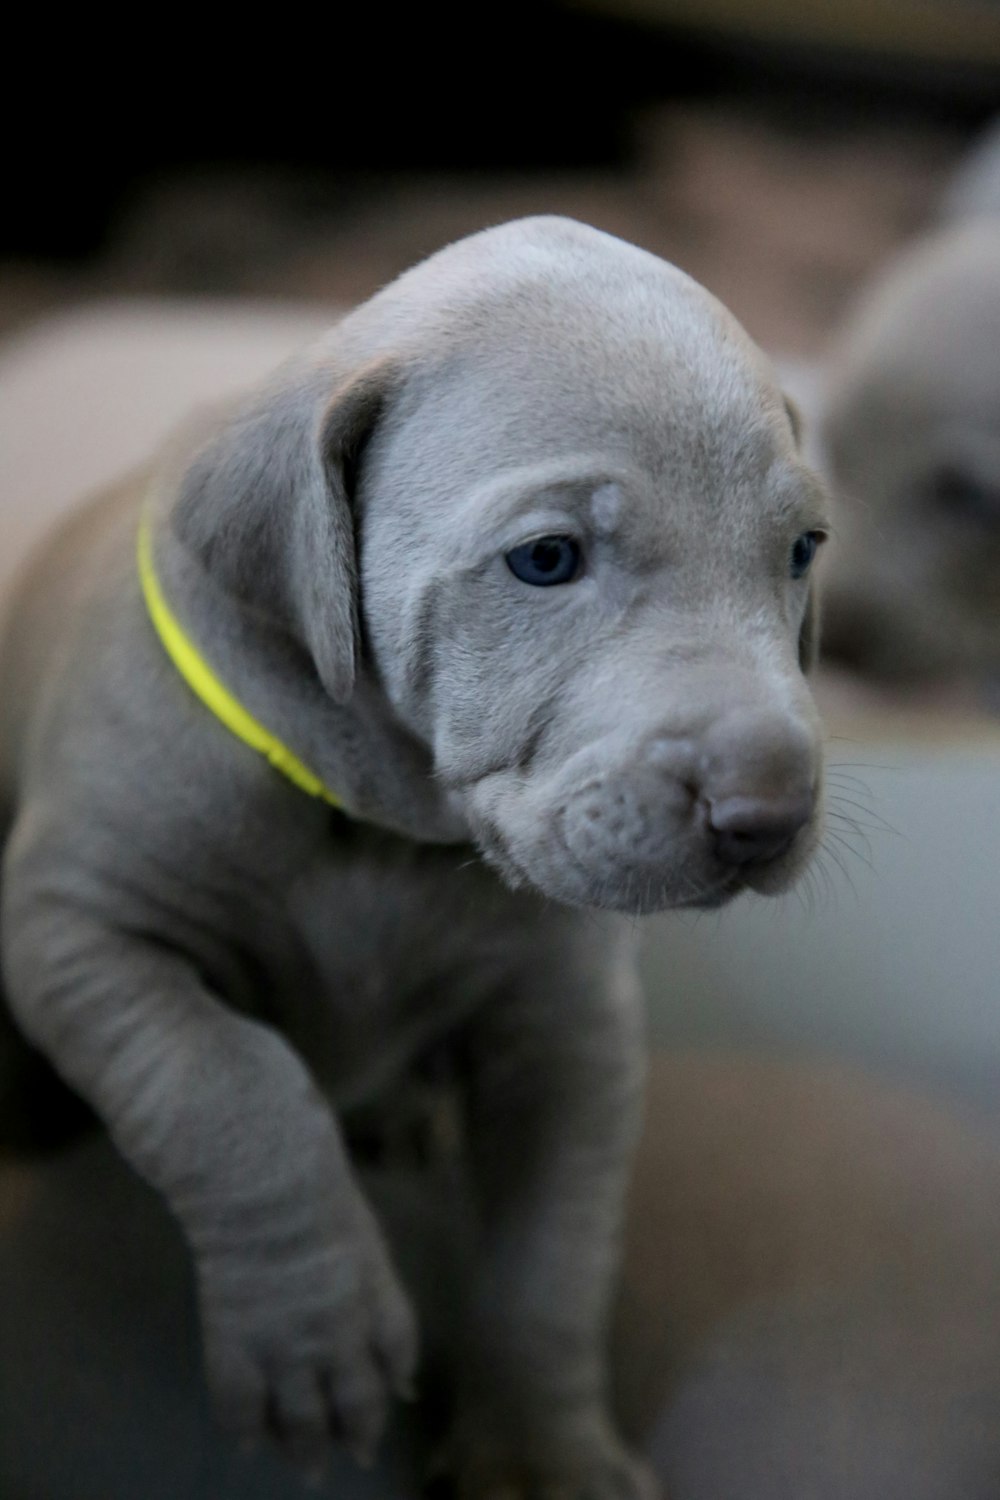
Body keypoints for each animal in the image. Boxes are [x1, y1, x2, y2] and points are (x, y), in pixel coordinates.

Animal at [0, 217, 827, 1494]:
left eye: (800, 551)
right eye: (546, 560)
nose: (769, 816)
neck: (382, 832)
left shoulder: (570, 1034)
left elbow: (554, 1257)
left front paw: (540, 1452)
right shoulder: (78, 927)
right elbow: (226, 1084)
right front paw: (312, 1345)